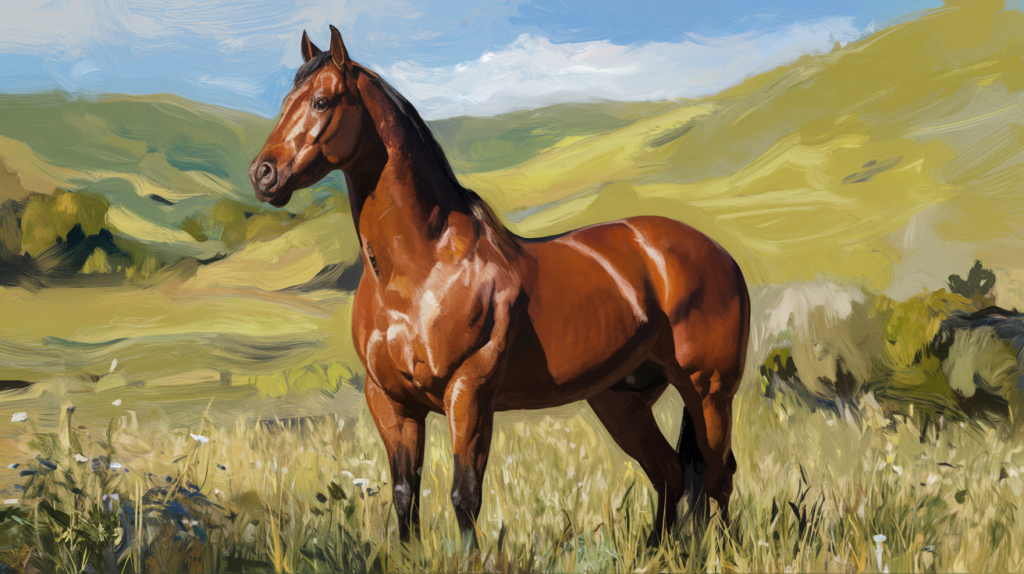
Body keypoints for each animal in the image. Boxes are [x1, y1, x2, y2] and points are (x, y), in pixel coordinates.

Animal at [250, 25, 750, 547]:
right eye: (286, 101)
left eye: (322, 101)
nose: (263, 175)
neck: (420, 272)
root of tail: (718, 251)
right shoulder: (390, 401)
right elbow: (406, 495)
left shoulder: (468, 392)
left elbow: (464, 496)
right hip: (621, 400)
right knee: (671, 474)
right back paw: (657, 552)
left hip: (709, 392)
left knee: (718, 477)